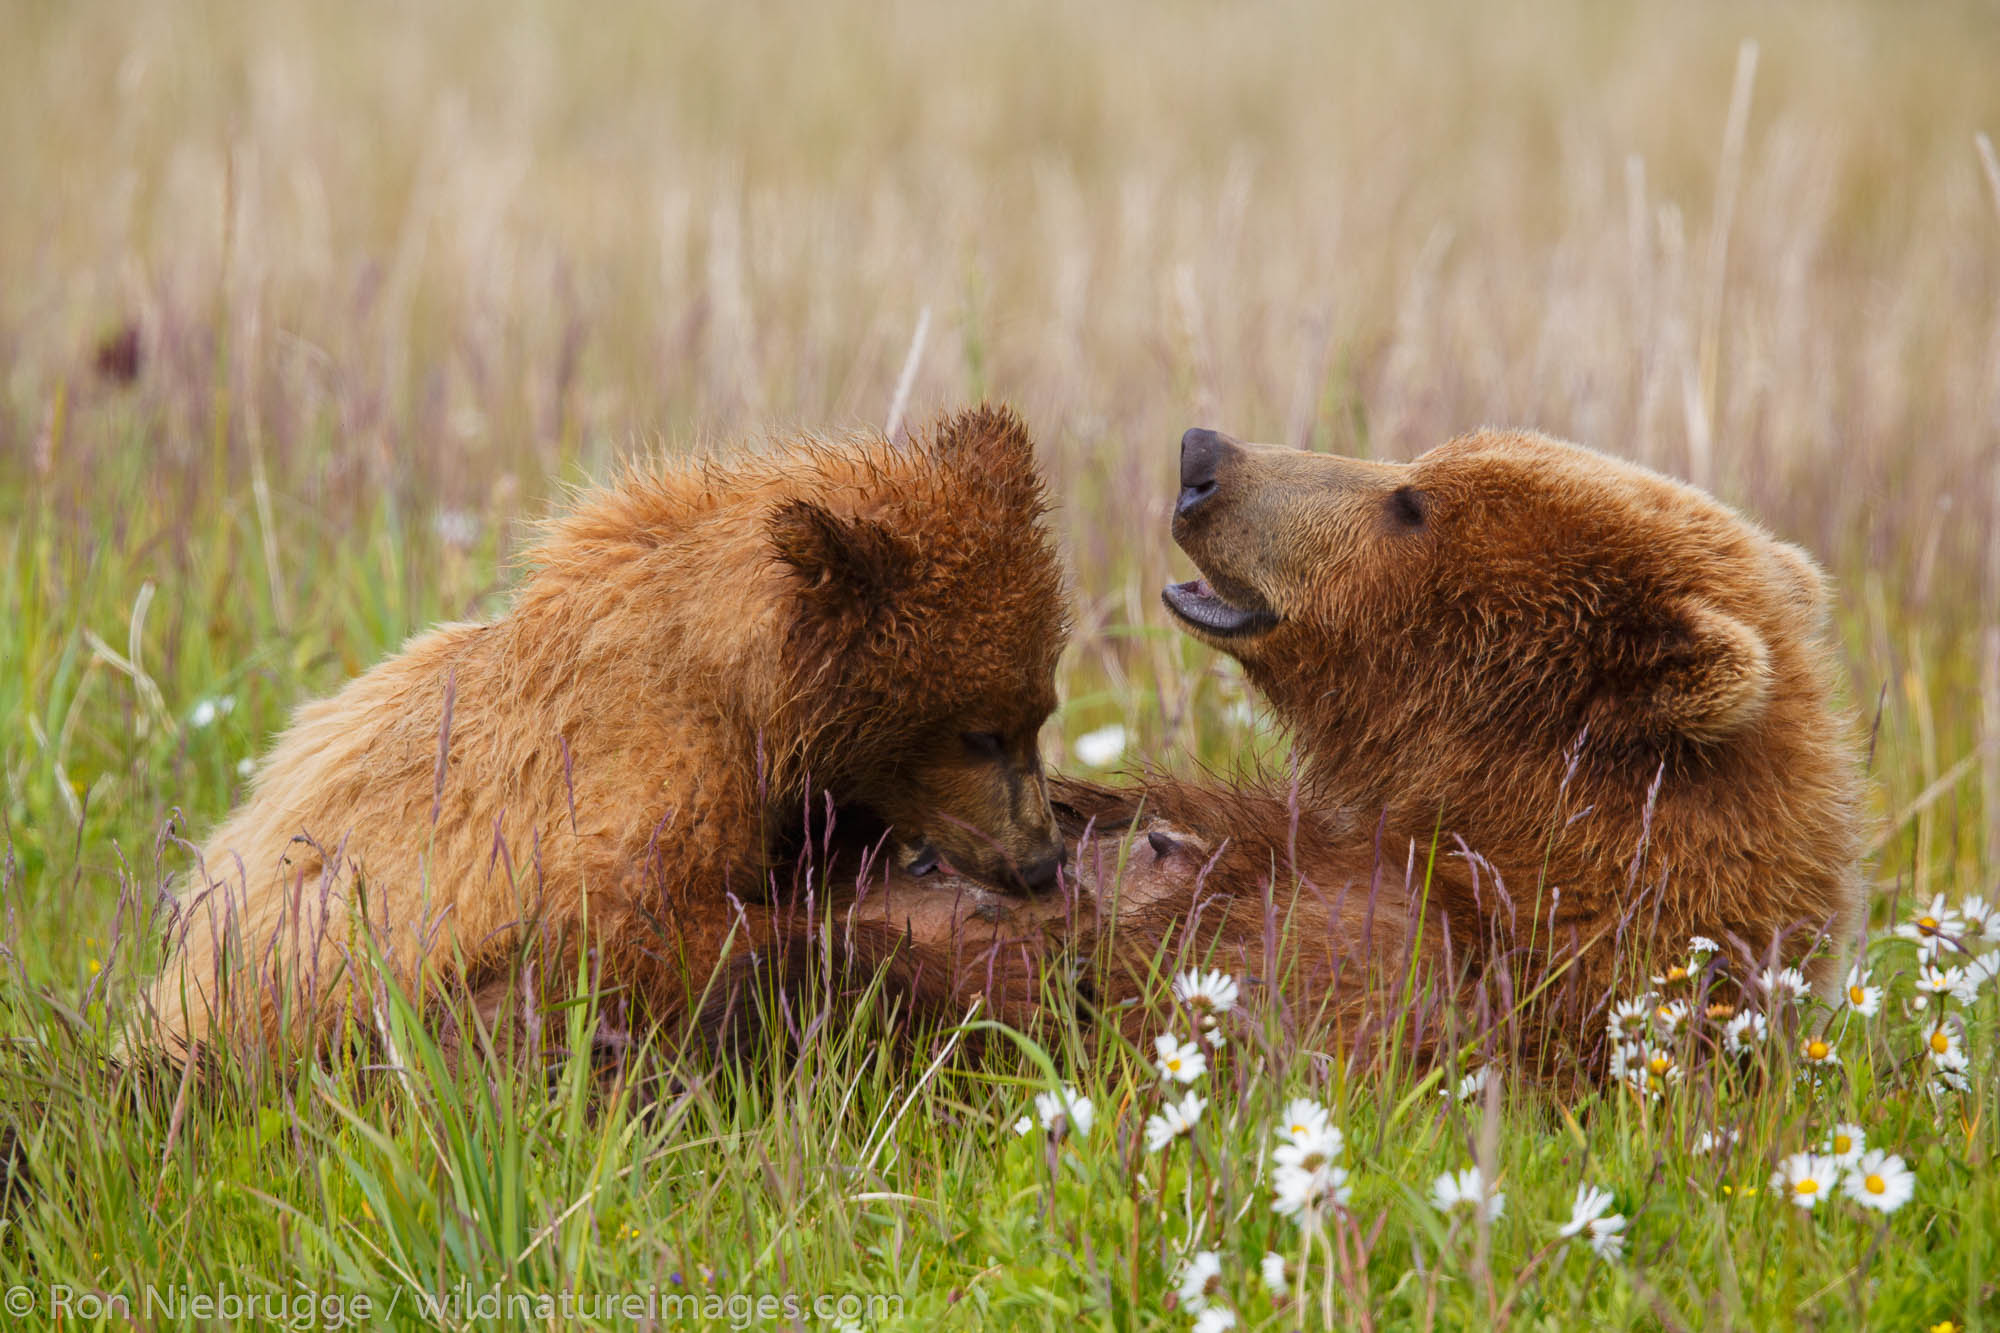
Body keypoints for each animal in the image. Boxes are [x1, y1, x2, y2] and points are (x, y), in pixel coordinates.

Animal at [137, 400, 1080, 1056]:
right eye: (978, 730)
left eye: (1037, 711)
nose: (1040, 859)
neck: (731, 684)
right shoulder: (637, 780)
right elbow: (635, 932)